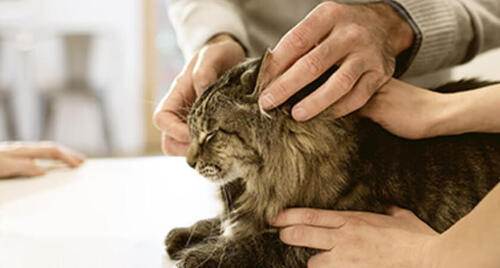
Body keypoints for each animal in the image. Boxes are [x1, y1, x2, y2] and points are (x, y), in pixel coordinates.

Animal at [166, 51, 500, 266]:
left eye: (211, 135)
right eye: (191, 131)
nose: (188, 162)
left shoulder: (311, 241)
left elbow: (255, 243)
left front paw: (197, 255)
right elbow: (221, 223)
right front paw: (183, 234)